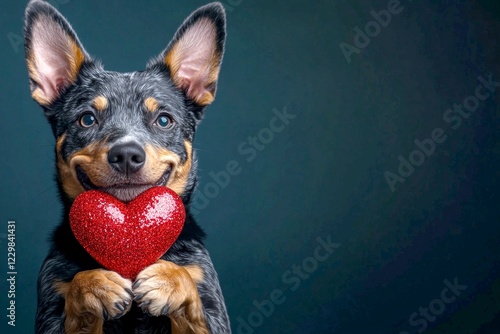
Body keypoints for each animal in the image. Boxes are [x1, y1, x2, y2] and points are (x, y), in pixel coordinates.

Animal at [24, 1, 231, 332]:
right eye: (87, 119)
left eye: (163, 120)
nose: (126, 154)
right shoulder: (52, 301)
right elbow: (77, 287)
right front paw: (94, 285)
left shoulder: (210, 306)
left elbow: (189, 288)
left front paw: (169, 279)